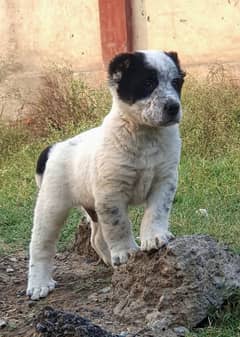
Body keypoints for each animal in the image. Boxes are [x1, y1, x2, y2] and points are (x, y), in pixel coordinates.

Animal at [27, 50, 186, 300]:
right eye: (147, 83)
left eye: (177, 82)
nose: (172, 107)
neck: (145, 134)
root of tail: (54, 148)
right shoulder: (112, 193)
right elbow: (119, 225)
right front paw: (126, 251)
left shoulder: (164, 181)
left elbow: (156, 212)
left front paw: (154, 237)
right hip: (52, 206)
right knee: (40, 245)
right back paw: (38, 284)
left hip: (92, 206)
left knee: (96, 238)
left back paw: (110, 261)